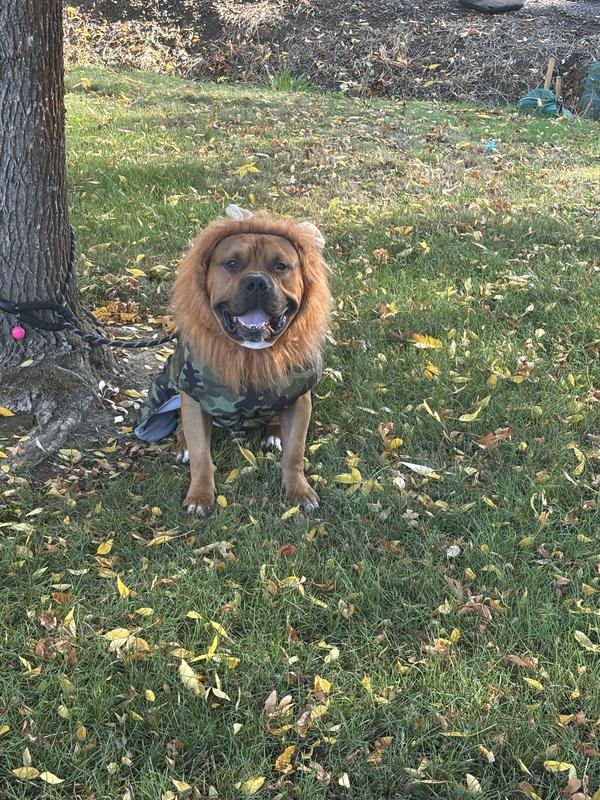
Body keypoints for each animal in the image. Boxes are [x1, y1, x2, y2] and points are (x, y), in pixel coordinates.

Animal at [165, 206, 331, 516]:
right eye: (231, 263)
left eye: (281, 266)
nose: (256, 282)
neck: (250, 355)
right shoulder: (193, 400)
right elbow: (201, 455)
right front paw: (200, 495)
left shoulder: (300, 400)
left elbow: (295, 453)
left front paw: (299, 490)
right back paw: (182, 444)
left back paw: (274, 433)